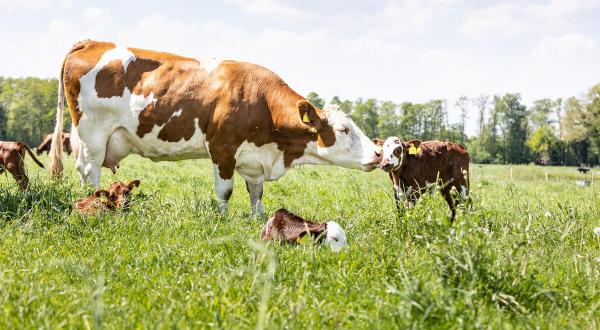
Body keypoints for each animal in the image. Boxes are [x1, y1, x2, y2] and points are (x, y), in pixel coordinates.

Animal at [50, 40, 380, 217]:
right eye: (345, 130)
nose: (378, 153)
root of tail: (93, 42)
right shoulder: (223, 148)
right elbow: (225, 190)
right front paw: (223, 218)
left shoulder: (254, 158)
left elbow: (256, 192)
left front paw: (258, 217)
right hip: (93, 133)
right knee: (90, 170)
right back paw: (96, 201)